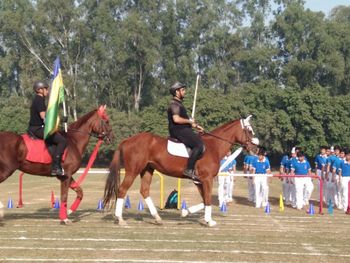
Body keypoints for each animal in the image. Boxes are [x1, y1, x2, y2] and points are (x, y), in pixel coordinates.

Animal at [102, 115, 258, 227]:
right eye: (250, 131)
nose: (256, 149)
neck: (212, 146)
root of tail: (127, 140)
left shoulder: (199, 181)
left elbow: (204, 200)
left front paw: (186, 212)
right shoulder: (206, 179)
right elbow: (207, 200)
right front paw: (209, 221)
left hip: (147, 170)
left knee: (144, 191)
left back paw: (157, 218)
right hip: (133, 171)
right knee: (122, 190)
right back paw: (120, 219)